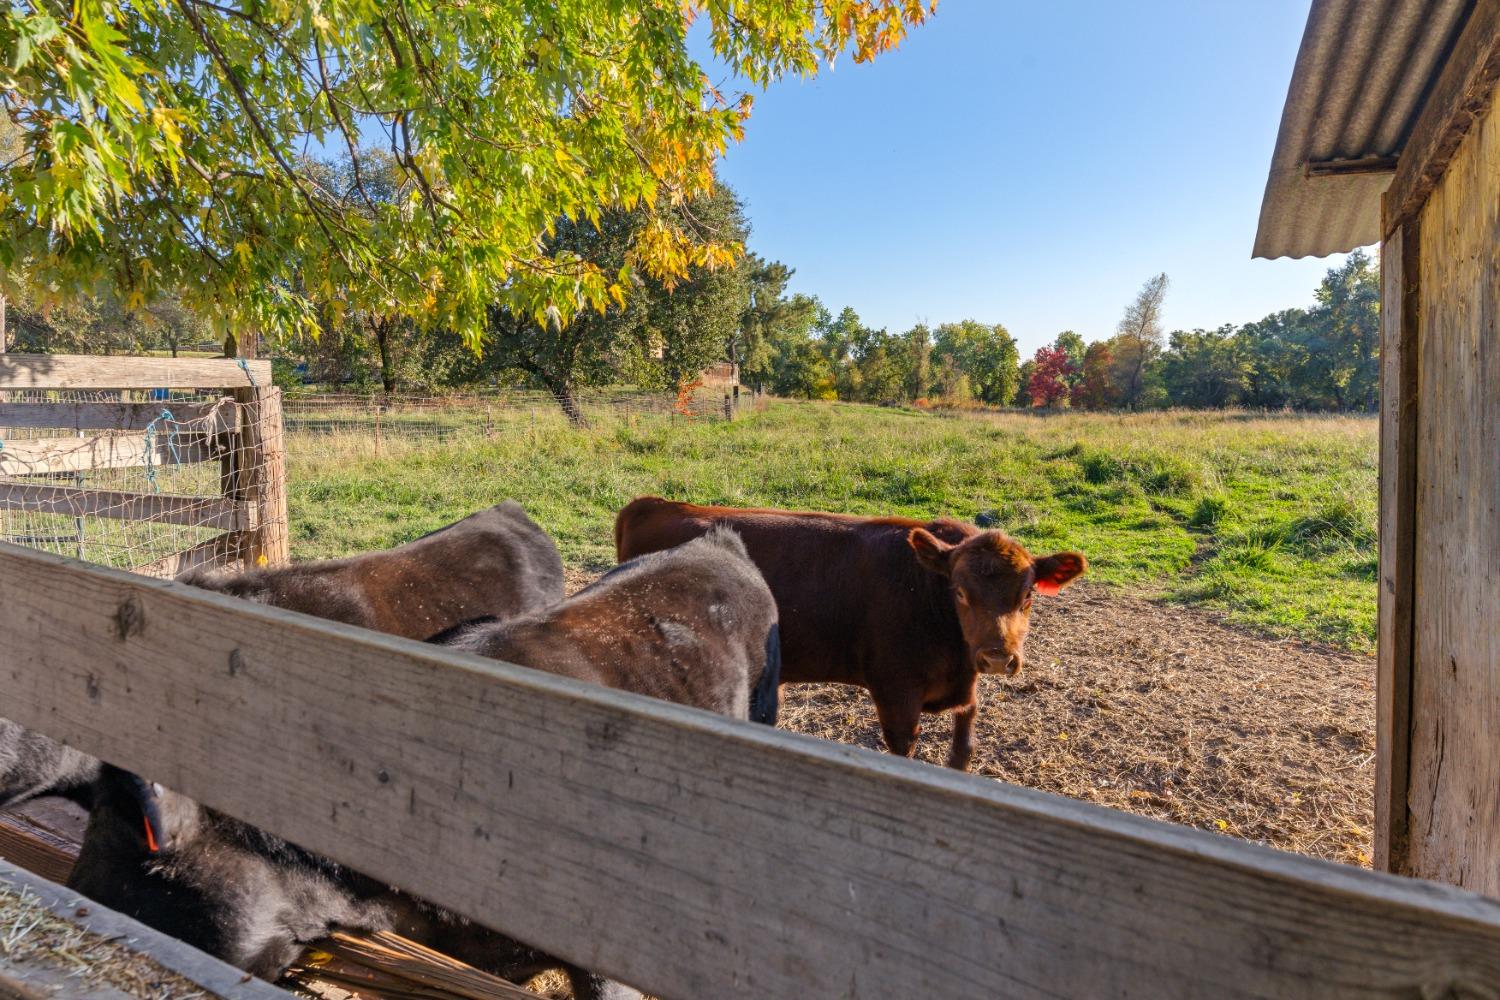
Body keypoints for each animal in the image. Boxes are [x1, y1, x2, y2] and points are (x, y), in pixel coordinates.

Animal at [615, 497, 1086, 773]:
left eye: (1028, 595)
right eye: (959, 592)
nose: (997, 657)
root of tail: (655, 503)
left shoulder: (963, 689)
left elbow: (963, 750)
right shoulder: (895, 690)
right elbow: (904, 751)